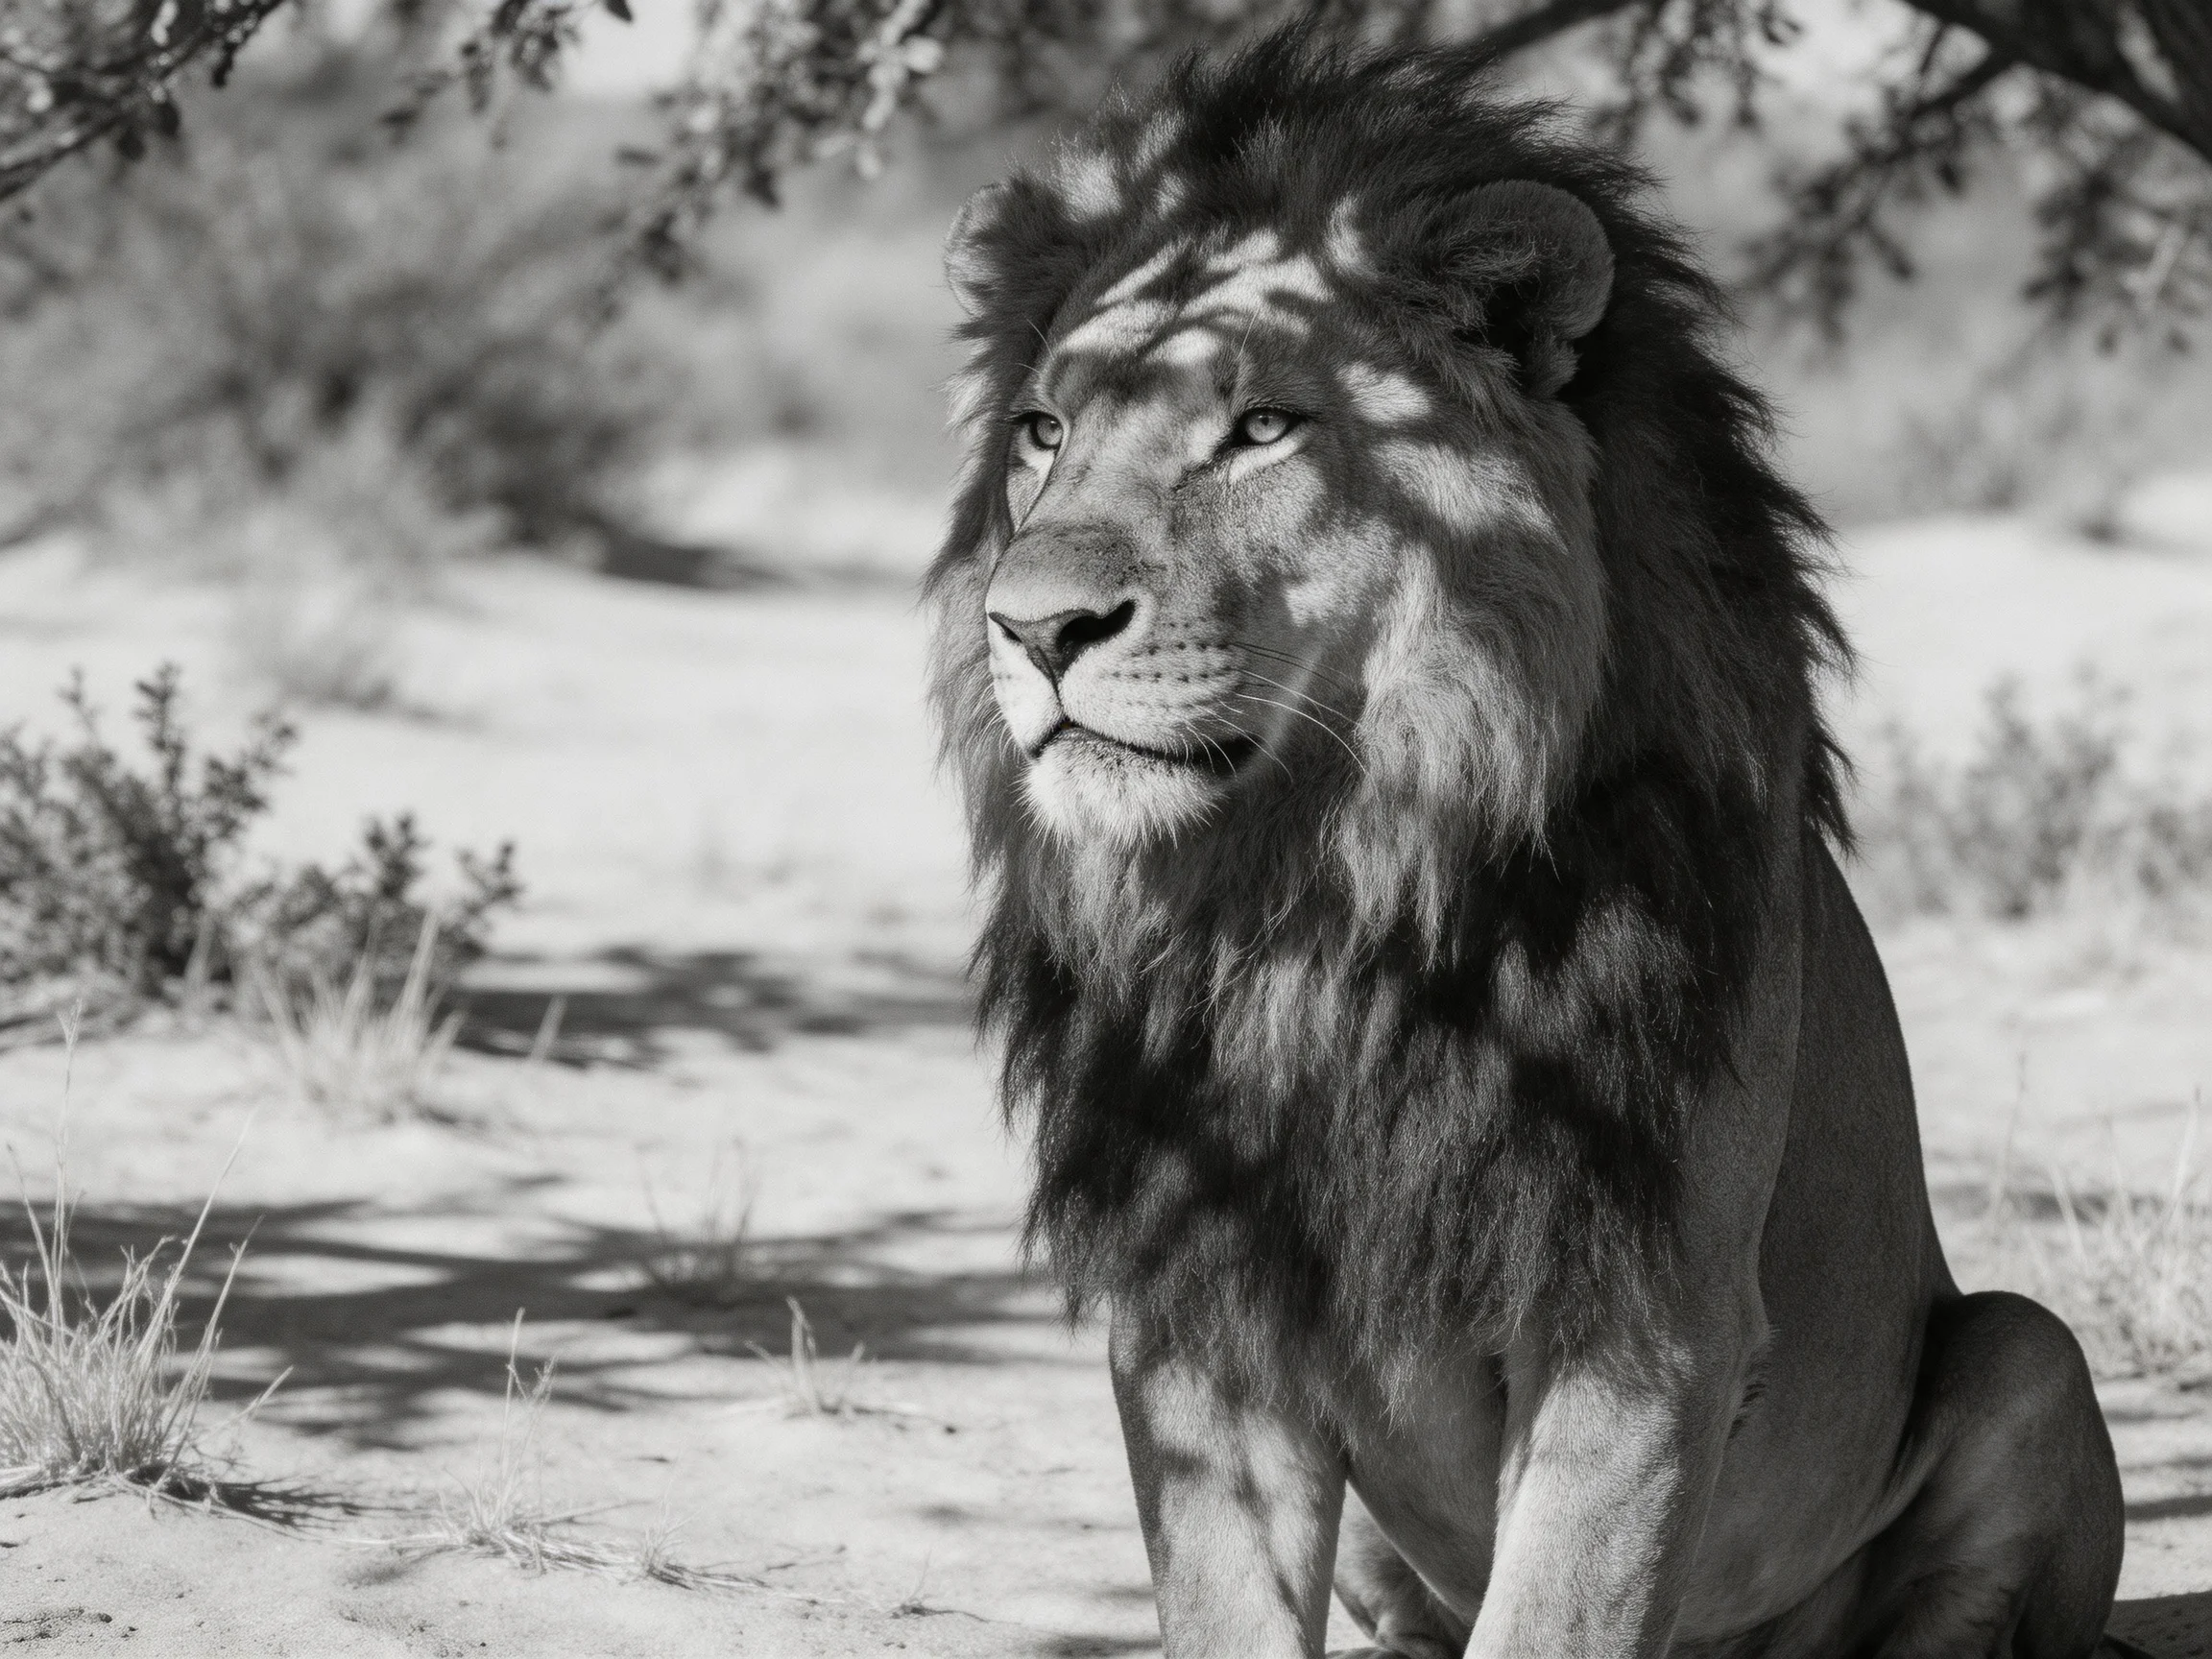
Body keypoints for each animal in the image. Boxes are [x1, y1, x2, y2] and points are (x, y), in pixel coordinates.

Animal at [925, 32, 2125, 1659]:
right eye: (1044, 433)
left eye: (1263, 426)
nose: (1034, 627)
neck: (1323, 895)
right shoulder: (1200, 1305)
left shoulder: (1644, 1323)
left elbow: (1556, 1615)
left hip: (2031, 1353)